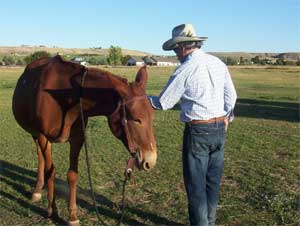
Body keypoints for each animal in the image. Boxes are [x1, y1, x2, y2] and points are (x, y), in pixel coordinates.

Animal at [12, 55, 157, 226]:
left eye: (152, 117)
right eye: (136, 119)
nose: (151, 160)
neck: (66, 101)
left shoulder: (78, 138)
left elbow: (72, 175)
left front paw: (72, 215)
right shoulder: (43, 137)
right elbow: (50, 172)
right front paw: (51, 209)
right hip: (36, 135)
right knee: (41, 158)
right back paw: (37, 191)